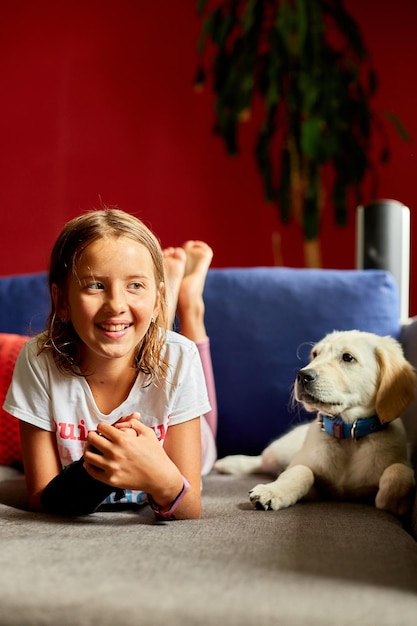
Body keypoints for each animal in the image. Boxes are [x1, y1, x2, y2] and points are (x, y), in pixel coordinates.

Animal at [214, 330, 416, 516]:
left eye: (348, 357)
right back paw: (229, 463)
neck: (347, 434)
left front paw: (390, 502)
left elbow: (400, 471)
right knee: (262, 461)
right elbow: (301, 471)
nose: (302, 375)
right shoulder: (314, 485)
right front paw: (273, 491)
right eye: (315, 355)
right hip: (280, 451)